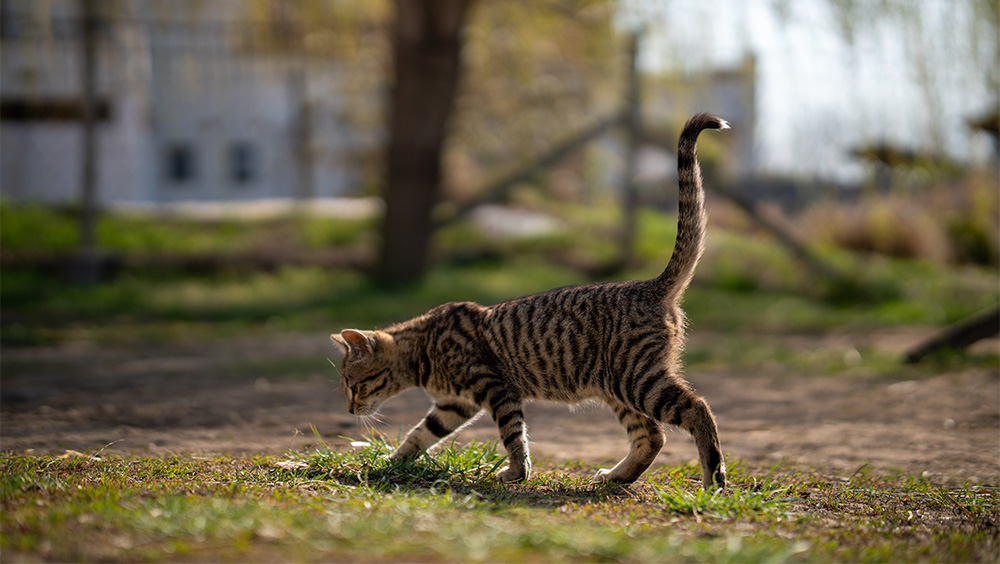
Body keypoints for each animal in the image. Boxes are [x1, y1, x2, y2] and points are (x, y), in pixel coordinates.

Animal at [332, 111, 732, 490]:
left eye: (354, 385)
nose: (350, 410)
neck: (424, 350)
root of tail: (651, 285)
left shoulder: (496, 388)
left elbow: (513, 437)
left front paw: (515, 474)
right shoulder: (452, 406)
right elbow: (418, 436)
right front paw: (388, 464)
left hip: (637, 380)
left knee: (698, 409)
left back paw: (714, 478)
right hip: (618, 389)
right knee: (652, 436)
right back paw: (616, 477)